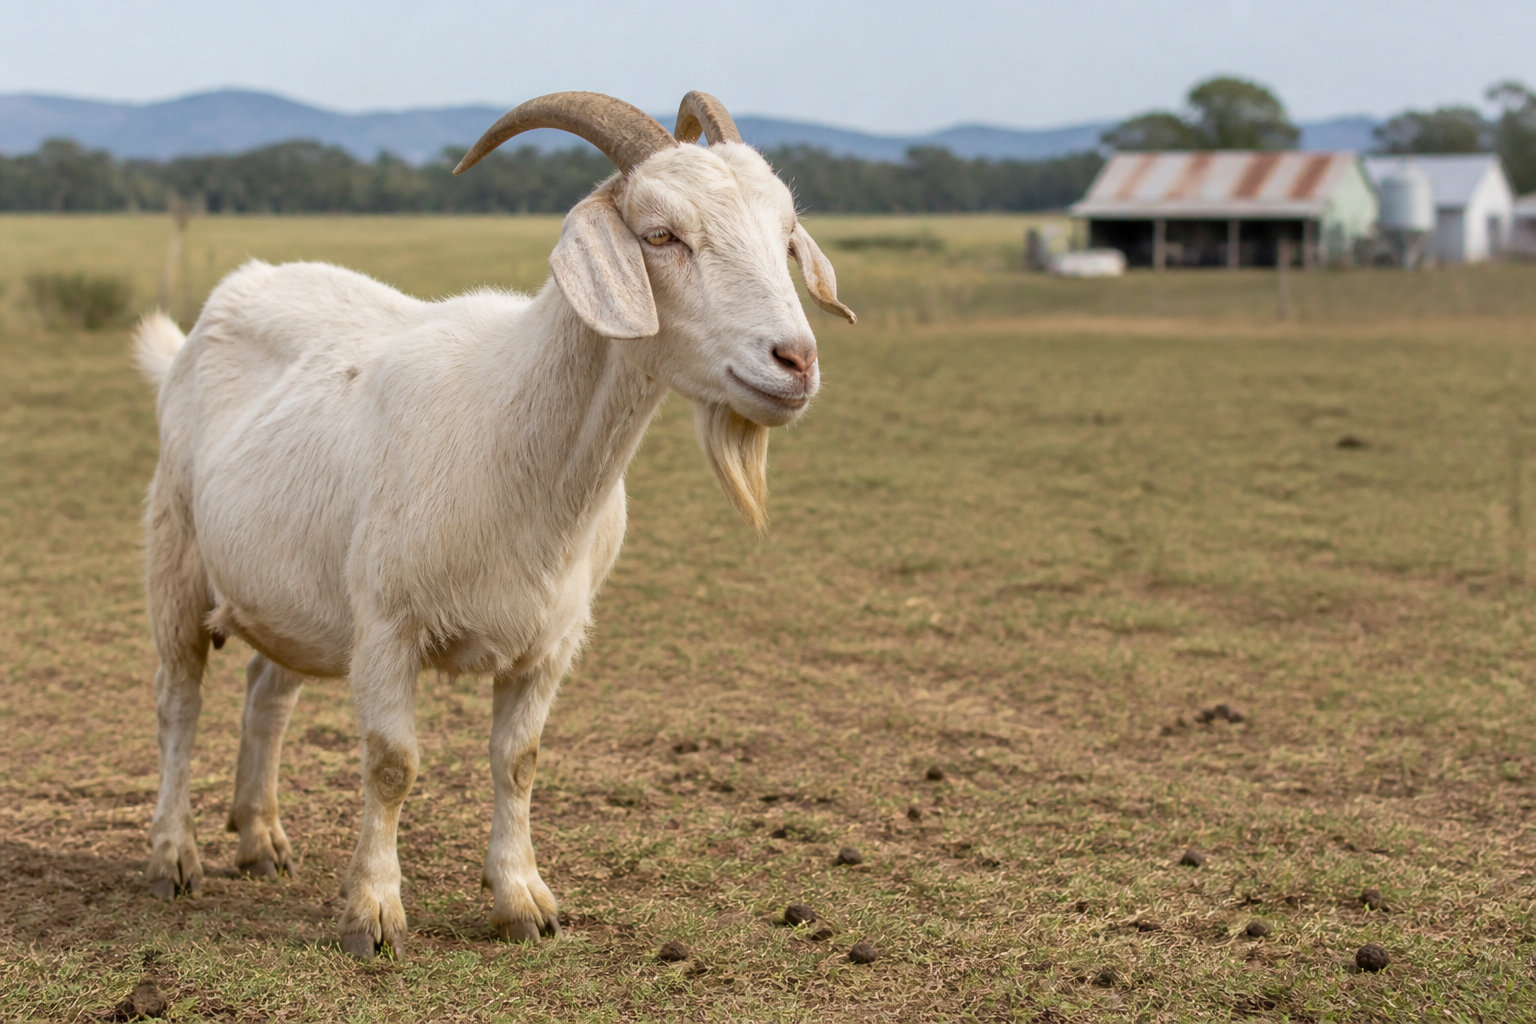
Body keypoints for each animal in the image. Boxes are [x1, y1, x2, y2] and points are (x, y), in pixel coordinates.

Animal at [133, 91, 854, 958]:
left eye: (785, 236)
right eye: (660, 235)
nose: (795, 361)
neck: (516, 441)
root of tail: (228, 297)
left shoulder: (551, 639)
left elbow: (519, 760)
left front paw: (523, 899)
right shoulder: (387, 625)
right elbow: (392, 764)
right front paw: (374, 912)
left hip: (295, 592)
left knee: (265, 694)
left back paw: (261, 838)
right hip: (176, 548)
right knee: (178, 699)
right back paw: (174, 856)